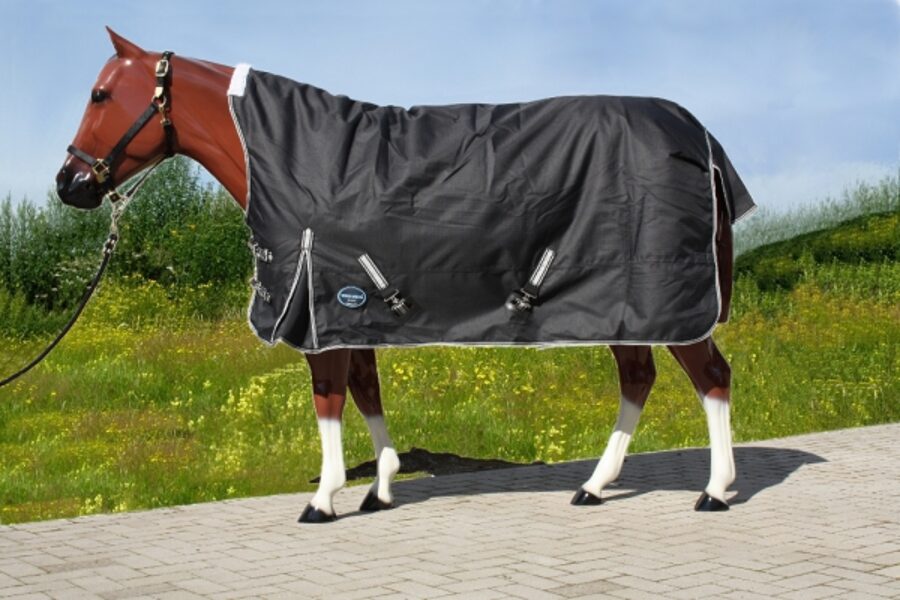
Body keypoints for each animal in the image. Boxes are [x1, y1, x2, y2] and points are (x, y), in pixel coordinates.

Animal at [57, 28, 747, 522]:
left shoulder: (322, 309)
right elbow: (366, 392)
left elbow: (329, 400)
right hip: (625, 307)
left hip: (666, 303)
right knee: (639, 379)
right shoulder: (350, 313)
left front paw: (324, 499)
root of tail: (701, 137)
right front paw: (380, 488)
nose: (70, 184)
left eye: (99, 95)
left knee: (711, 377)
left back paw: (714, 491)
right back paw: (595, 487)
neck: (288, 156)